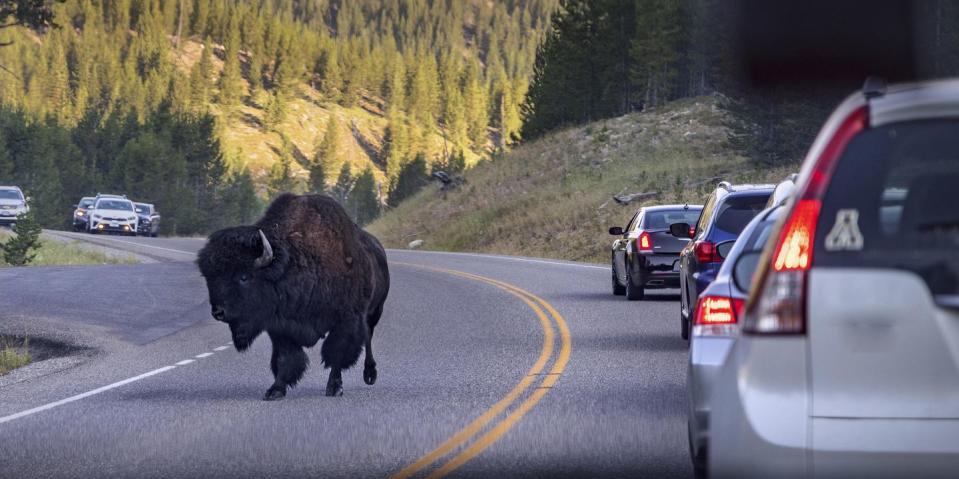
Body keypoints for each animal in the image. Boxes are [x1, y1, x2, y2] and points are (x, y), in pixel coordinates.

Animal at [197, 193, 392, 400]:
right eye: (210, 278)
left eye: (244, 276)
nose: (218, 312)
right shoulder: (280, 327)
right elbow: (286, 358)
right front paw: (275, 390)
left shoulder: (346, 321)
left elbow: (336, 353)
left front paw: (334, 387)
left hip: (374, 312)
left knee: (368, 336)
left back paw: (369, 374)